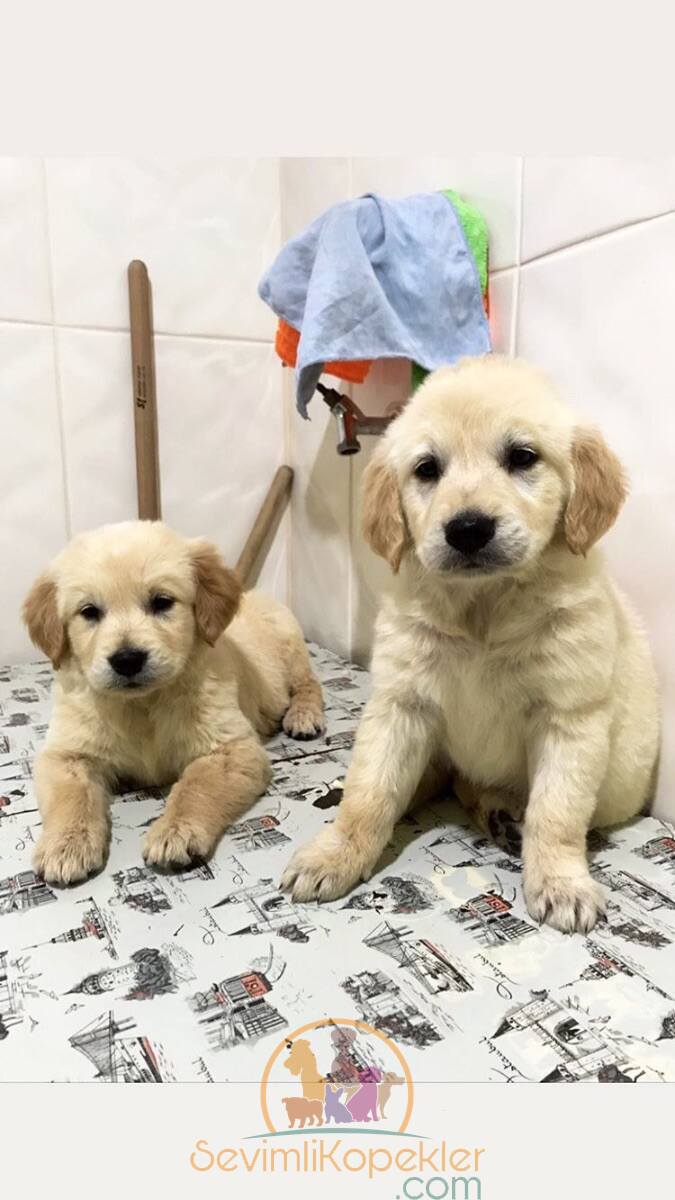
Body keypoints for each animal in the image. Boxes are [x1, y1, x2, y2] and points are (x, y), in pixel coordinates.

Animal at [23, 520, 324, 888]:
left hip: (292, 651)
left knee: (309, 684)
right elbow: (71, 796)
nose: (127, 660)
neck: (142, 705)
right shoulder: (66, 754)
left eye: (162, 602)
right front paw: (65, 845)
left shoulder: (232, 748)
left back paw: (303, 716)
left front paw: (175, 831)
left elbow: (195, 787)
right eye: (89, 612)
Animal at [282, 350, 658, 931]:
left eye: (523, 457)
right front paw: (336, 852)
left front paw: (561, 882)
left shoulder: (569, 718)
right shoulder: (400, 704)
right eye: (427, 469)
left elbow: (557, 812)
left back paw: (503, 814)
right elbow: (369, 793)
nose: (467, 529)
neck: (484, 607)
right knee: (442, 780)